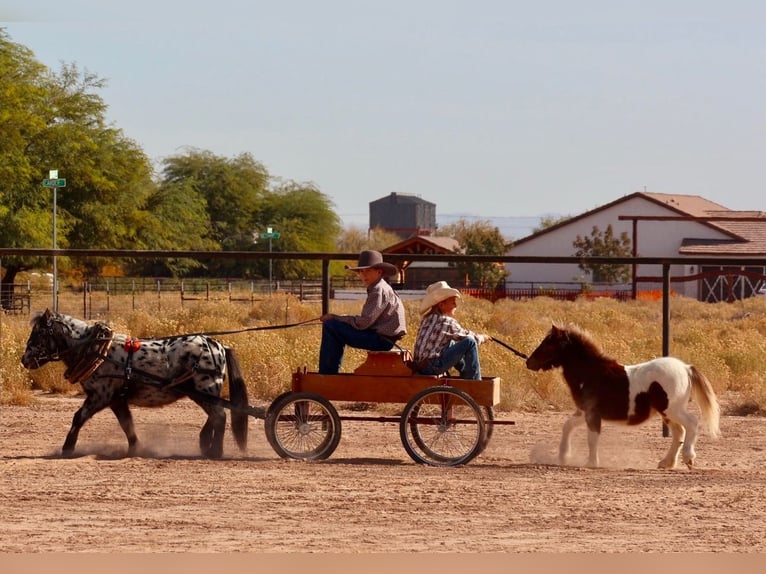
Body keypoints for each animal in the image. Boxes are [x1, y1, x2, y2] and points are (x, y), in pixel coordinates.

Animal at [21, 310, 252, 460]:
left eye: (39, 333)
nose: (24, 360)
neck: (98, 351)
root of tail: (218, 345)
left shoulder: (100, 396)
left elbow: (78, 418)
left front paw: (67, 448)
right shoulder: (116, 401)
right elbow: (127, 424)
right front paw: (134, 449)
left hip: (205, 389)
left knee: (219, 415)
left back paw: (215, 452)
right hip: (200, 393)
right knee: (215, 415)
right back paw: (205, 444)